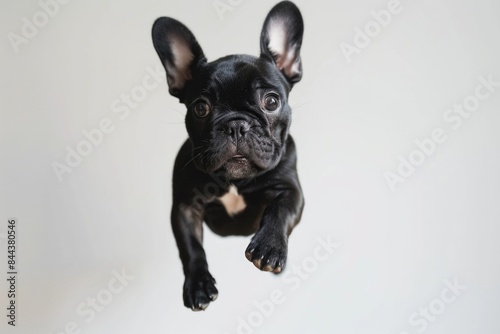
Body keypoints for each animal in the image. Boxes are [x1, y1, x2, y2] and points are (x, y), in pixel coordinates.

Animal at [150, 1, 302, 310]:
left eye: (271, 101)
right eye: (200, 108)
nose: (236, 125)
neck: (234, 181)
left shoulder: (290, 188)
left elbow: (281, 209)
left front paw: (269, 247)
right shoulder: (185, 208)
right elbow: (191, 247)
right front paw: (198, 285)